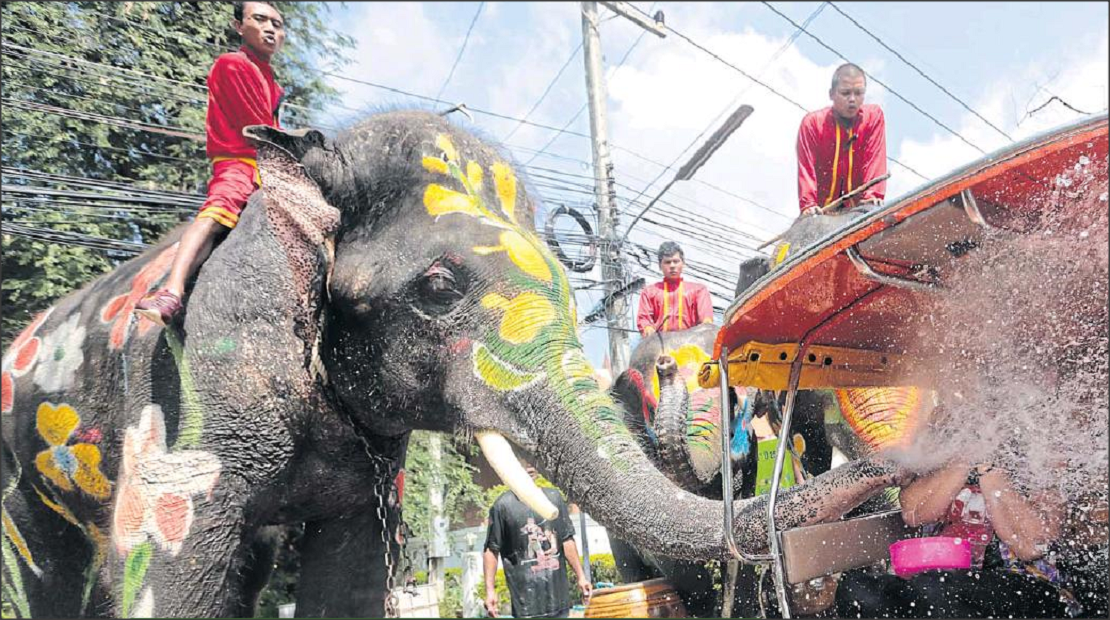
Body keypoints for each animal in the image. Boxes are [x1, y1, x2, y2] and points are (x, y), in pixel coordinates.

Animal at [0, 109, 910, 616]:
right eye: (437, 288)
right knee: (50, 569)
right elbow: (175, 567)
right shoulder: (201, 391)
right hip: (25, 466)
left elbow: (352, 572)